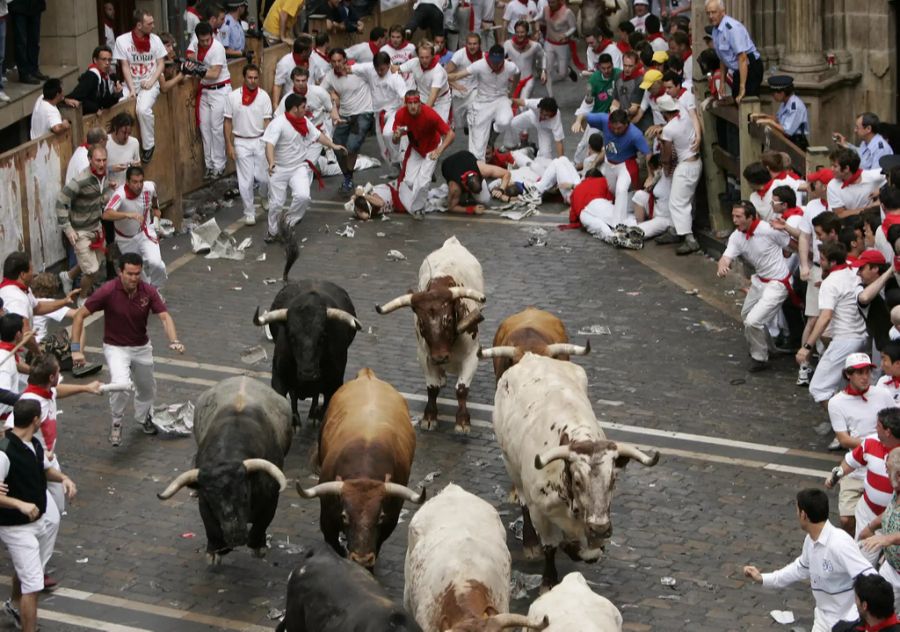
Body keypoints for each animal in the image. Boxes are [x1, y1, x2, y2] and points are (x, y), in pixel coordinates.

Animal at [158, 378, 290, 564]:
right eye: (213, 500)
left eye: (245, 494)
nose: (236, 536)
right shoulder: (204, 502)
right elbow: (211, 527)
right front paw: (216, 550)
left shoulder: (271, 498)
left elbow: (261, 524)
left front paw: (258, 547)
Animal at [251, 278, 360, 428]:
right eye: (291, 336)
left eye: (322, 336)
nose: (308, 373)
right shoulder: (278, 377)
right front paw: (294, 420)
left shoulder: (335, 382)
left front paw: (316, 417)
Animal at [296, 368, 422, 572]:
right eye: (345, 516)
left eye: (380, 516)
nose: (361, 559)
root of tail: (367, 375)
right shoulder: (327, 518)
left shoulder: (391, 519)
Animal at [372, 237, 486, 434]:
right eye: (422, 324)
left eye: (449, 319)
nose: (440, 357)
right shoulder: (424, 356)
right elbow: (432, 388)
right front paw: (429, 417)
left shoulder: (472, 355)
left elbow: (461, 389)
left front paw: (463, 421)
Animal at [492, 356, 660, 588]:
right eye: (578, 481)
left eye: (613, 480)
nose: (600, 529)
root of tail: (531, 356)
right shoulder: (540, 512)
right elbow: (551, 545)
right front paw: (548, 580)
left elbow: (590, 552)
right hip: (510, 464)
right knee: (523, 501)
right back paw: (530, 544)